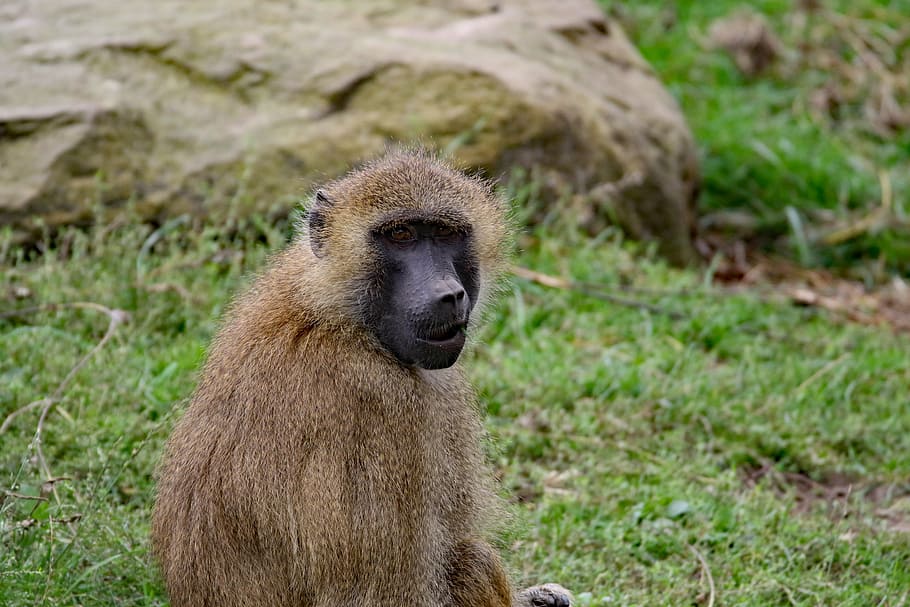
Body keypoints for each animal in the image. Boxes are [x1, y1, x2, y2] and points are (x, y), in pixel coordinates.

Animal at [151, 149, 572, 607]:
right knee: (471, 563)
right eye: (401, 235)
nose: (448, 294)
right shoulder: (376, 401)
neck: (338, 316)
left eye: (446, 234)